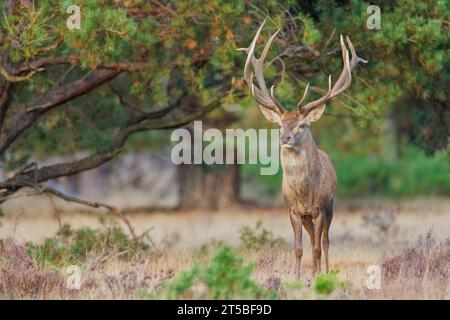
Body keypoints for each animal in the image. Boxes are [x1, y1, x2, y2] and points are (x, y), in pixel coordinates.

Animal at [237, 21, 368, 278]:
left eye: (302, 124)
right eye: (280, 124)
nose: (284, 138)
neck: (304, 193)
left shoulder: (320, 207)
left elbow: (318, 246)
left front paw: (318, 276)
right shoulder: (293, 210)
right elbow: (299, 248)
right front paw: (296, 277)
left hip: (331, 205)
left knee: (325, 241)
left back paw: (324, 270)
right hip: (309, 216)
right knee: (311, 239)